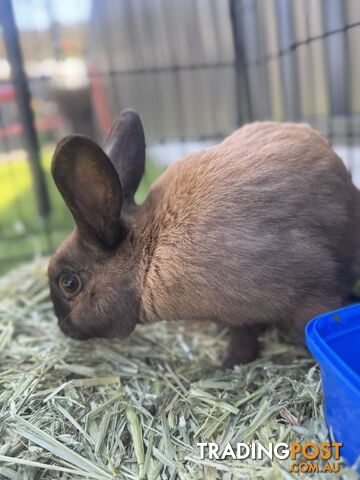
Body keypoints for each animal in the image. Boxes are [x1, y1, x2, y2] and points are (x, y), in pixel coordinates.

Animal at [47, 110, 360, 368]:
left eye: (69, 283)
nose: (64, 329)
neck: (148, 258)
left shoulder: (306, 293)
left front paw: (224, 364)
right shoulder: (239, 316)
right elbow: (244, 336)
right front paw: (228, 362)